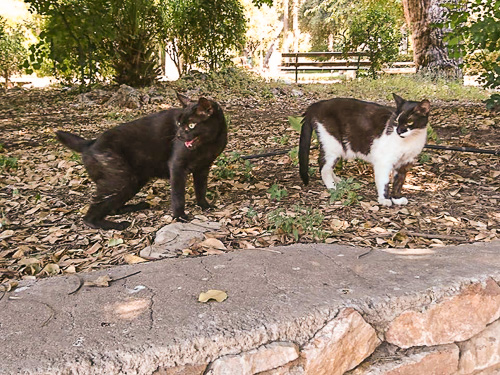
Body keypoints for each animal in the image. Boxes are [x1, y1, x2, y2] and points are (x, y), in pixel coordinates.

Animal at [56, 92, 227, 231]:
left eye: (192, 125)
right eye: (179, 124)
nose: (178, 136)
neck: (208, 144)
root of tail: (90, 143)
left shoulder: (203, 168)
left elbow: (201, 189)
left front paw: (204, 205)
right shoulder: (177, 167)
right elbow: (178, 195)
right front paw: (179, 216)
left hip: (133, 181)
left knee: (113, 208)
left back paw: (137, 206)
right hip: (119, 180)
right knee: (90, 216)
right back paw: (116, 225)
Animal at [298, 93, 432, 206]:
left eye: (409, 122)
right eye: (396, 120)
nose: (398, 131)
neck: (409, 140)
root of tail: (317, 105)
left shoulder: (405, 162)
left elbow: (399, 182)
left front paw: (397, 198)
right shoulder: (384, 161)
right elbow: (384, 181)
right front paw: (384, 199)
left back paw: (336, 180)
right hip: (332, 144)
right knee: (323, 166)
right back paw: (331, 187)